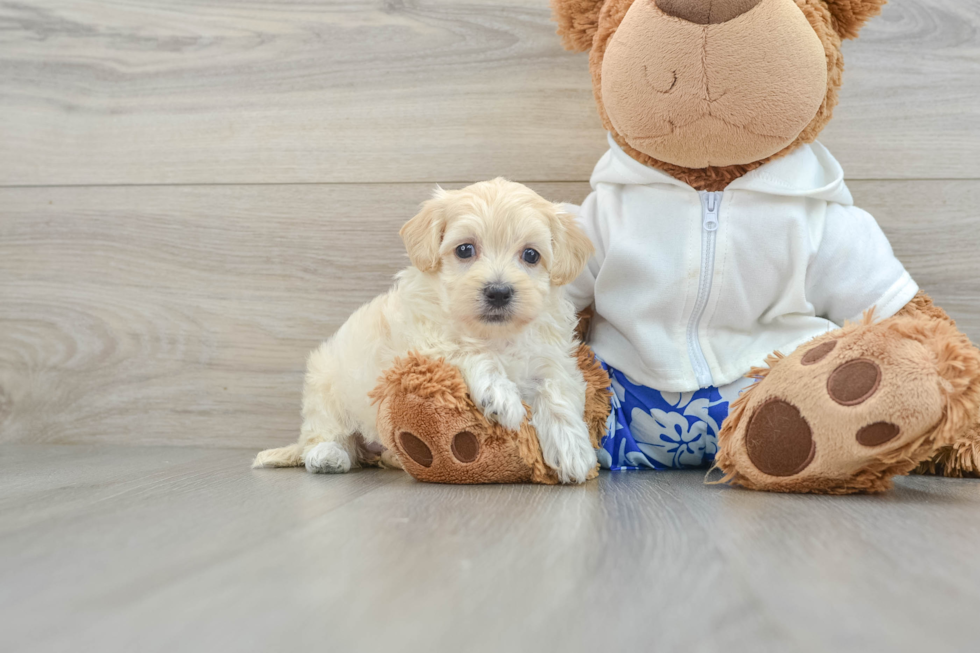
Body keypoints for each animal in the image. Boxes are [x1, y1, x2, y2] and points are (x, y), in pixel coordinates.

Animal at [253, 178, 600, 484]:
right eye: (465, 250)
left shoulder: (551, 357)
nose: (499, 292)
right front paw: (500, 395)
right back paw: (328, 455)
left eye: (531, 255)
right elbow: (469, 351)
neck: (494, 334)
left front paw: (573, 450)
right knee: (326, 435)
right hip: (326, 389)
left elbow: (557, 392)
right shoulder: (423, 346)